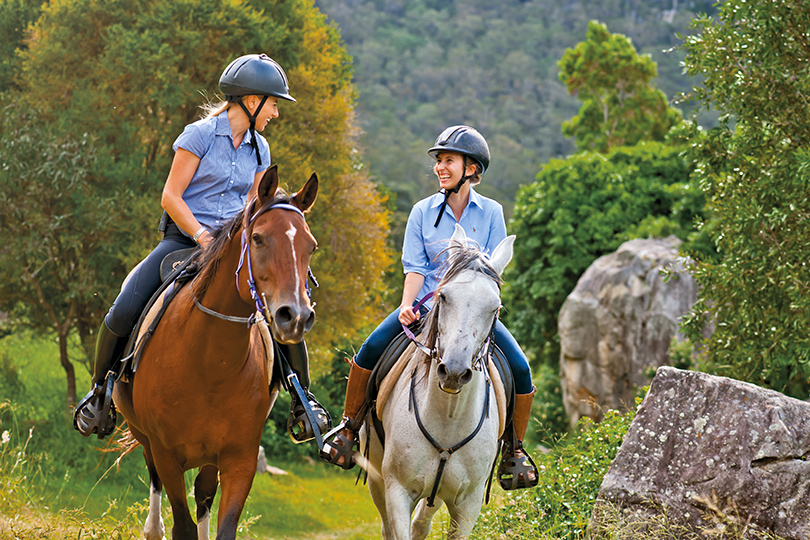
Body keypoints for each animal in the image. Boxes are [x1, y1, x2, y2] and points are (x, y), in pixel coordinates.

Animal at [111, 166, 318, 540]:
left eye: (311, 246)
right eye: (258, 239)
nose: (294, 316)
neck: (211, 365)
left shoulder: (240, 459)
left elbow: (222, 524)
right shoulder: (167, 454)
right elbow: (182, 524)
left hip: (209, 458)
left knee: (204, 494)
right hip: (146, 439)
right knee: (154, 479)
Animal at [362, 224, 516, 540]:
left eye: (495, 307)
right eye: (443, 296)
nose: (454, 372)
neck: (448, 417)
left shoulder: (468, 505)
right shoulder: (397, 492)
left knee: (423, 522)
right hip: (376, 477)